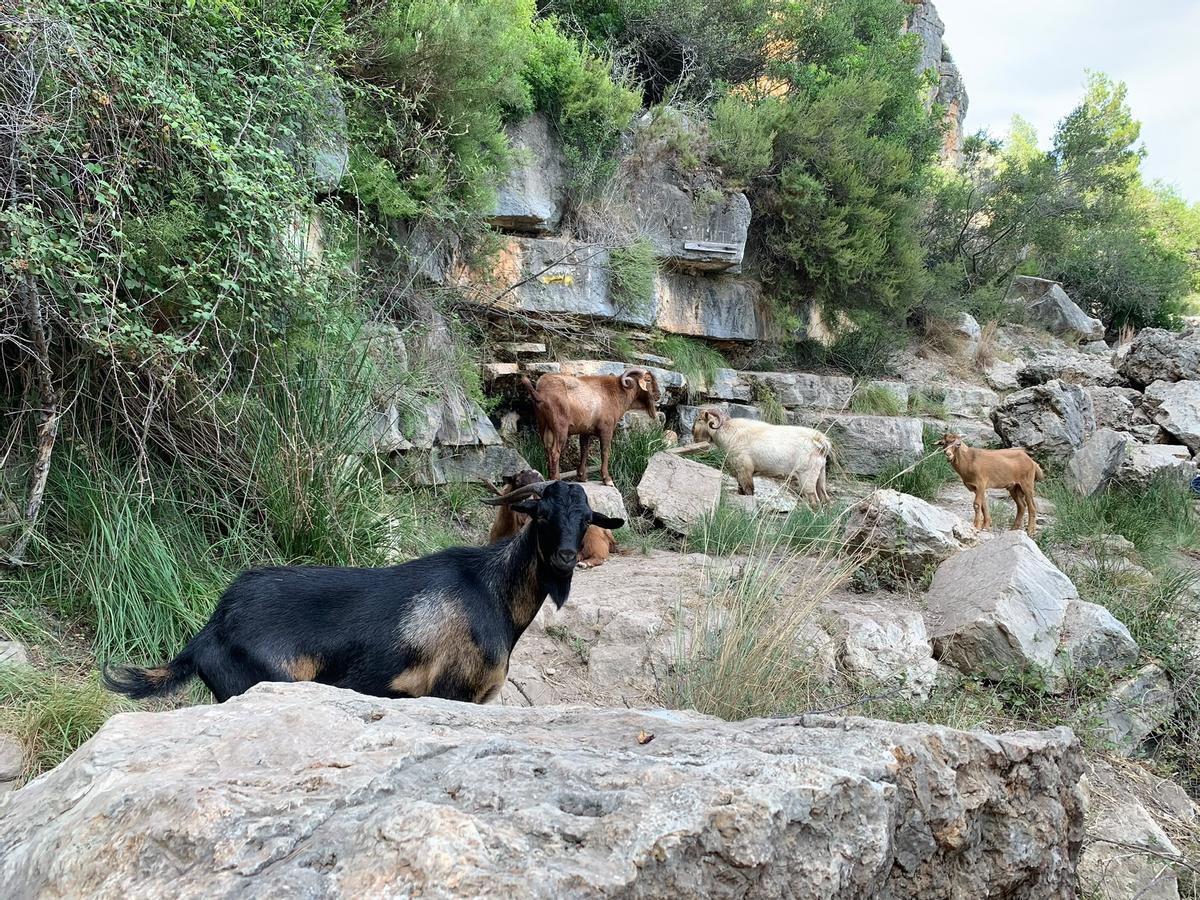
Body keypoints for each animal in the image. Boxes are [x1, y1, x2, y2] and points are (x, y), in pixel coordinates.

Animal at [103, 481, 624, 704]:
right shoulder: (453, 692)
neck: (493, 593)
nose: (565, 557)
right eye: (542, 514)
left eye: (585, 519)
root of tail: (210, 629)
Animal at [522, 368, 661, 485]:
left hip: (544, 426)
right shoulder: (606, 430)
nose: (658, 395)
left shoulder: (585, 431)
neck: (615, 393)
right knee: (555, 451)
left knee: (547, 450)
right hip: (560, 428)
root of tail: (540, 393)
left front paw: (582, 477)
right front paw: (607, 479)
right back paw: (556, 479)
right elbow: (605, 452)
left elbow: (584, 451)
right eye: (648, 380)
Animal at [691, 406, 832, 504]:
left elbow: (748, 491)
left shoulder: (745, 470)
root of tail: (819, 441)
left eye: (699, 419)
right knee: (825, 498)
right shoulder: (739, 473)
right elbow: (741, 491)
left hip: (806, 476)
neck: (731, 433)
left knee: (814, 500)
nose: (693, 434)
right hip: (820, 474)